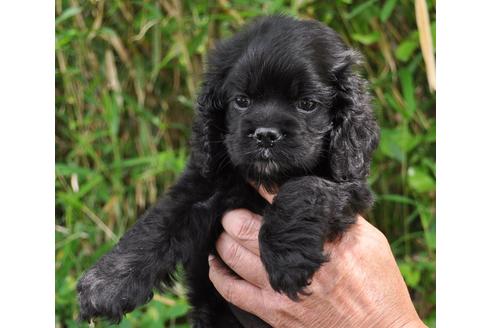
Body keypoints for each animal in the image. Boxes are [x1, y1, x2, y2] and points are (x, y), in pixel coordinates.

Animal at [77, 14, 378, 326]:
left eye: (307, 104)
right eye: (242, 101)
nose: (266, 135)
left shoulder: (349, 183)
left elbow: (304, 188)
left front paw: (287, 257)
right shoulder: (203, 182)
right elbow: (159, 221)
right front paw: (106, 284)